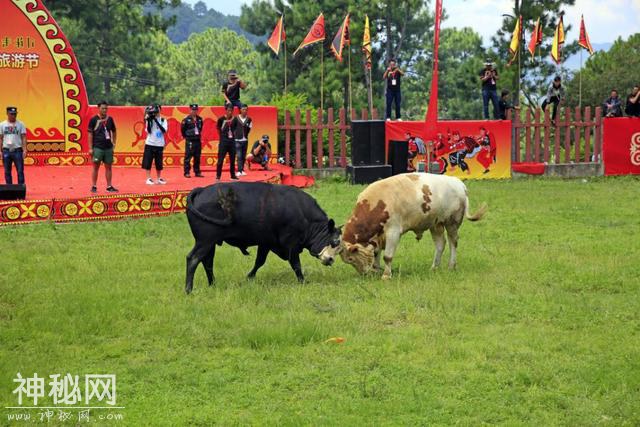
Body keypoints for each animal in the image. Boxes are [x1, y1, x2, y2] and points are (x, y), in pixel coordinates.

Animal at [184, 181, 340, 294]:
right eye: (334, 242)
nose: (330, 260)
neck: (303, 213)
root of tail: (202, 190)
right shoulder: (291, 244)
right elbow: (296, 264)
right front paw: (302, 281)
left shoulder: (266, 243)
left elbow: (259, 261)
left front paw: (249, 277)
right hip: (205, 241)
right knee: (193, 259)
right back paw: (189, 290)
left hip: (209, 243)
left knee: (207, 261)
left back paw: (213, 284)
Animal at [340, 172, 484, 280]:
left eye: (351, 258)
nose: (363, 274)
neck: (376, 204)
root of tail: (458, 183)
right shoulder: (378, 236)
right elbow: (376, 253)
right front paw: (376, 270)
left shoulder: (393, 232)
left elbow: (387, 256)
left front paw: (386, 275)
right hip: (436, 224)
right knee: (440, 244)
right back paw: (434, 267)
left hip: (452, 222)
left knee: (453, 242)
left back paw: (451, 265)